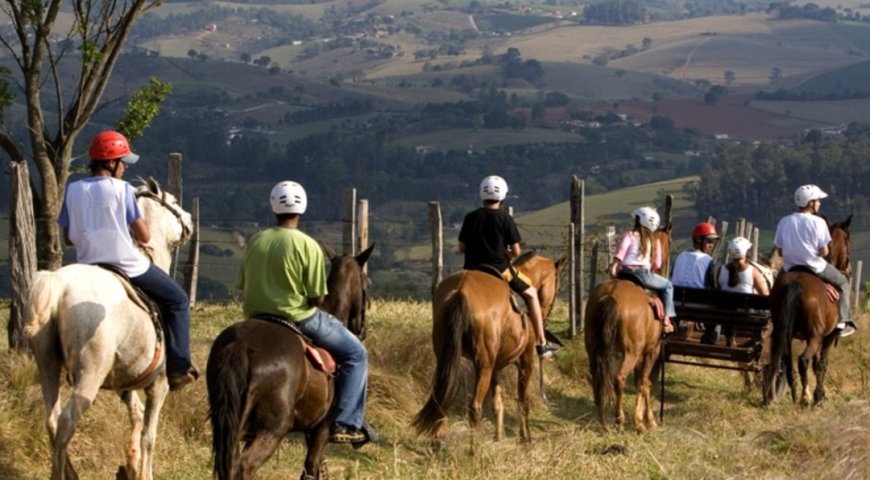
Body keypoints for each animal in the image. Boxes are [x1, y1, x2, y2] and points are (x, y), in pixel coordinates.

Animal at [24, 177, 193, 480]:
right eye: (173, 202)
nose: (189, 219)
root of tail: (58, 284)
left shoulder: (126, 384)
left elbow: (136, 416)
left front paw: (132, 464)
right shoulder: (159, 384)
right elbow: (149, 435)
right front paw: (145, 472)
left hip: (47, 364)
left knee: (52, 420)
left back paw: (70, 470)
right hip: (90, 372)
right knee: (66, 421)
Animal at [210, 246, 374, 478]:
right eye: (366, 284)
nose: (363, 330)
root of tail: (240, 344)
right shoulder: (322, 430)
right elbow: (312, 470)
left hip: (229, 423)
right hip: (273, 429)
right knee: (245, 466)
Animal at [412, 251, 568, 450]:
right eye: (558, 286)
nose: (547, 312)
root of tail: (461, 290)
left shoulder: (496, 366)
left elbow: (497, 402)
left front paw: (498, 437)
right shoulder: (526, 360)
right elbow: (523, 401)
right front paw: (526, 438)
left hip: (448, 358)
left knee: (443, 397)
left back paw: (438, 442)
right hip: (483, 365)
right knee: (474, 406)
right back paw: (474, 450)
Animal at [584, 227, 676, 434]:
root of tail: (609, 296)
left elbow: (641, 383)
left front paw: (643, 419)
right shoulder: (651, 351)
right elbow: (644, 383)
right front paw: (644, 421)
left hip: (593, 349)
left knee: (597, 380)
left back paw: (602, 423)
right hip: (631, 352)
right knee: (619, 379)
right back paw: (620, 420)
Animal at [768, 216, 856, 406]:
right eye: (849, 241)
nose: (849, 270)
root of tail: (796, 283)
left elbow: (816, 365)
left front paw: (818, 395)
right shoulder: (827, 337)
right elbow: (821, 364)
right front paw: (819, 397)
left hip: (783, 333)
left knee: (781, 360)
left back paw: (779, 396)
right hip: (814, 337)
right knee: (802, 360)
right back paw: (804, 397)